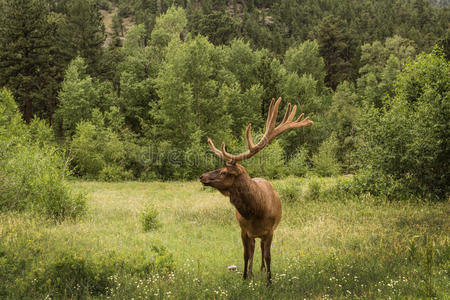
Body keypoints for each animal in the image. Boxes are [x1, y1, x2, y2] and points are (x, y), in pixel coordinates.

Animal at [200, 97, 312, 282]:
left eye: (223, 172)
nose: (202, 176)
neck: (256, 211)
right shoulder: (243, 230)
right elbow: (246, 255)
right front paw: (246, 277)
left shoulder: (270, 231)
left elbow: (268, 256)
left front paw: (269, 280)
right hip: (251, 234)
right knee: (253, 249)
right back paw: (253, 272)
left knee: (260, 249)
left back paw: (261, 269)